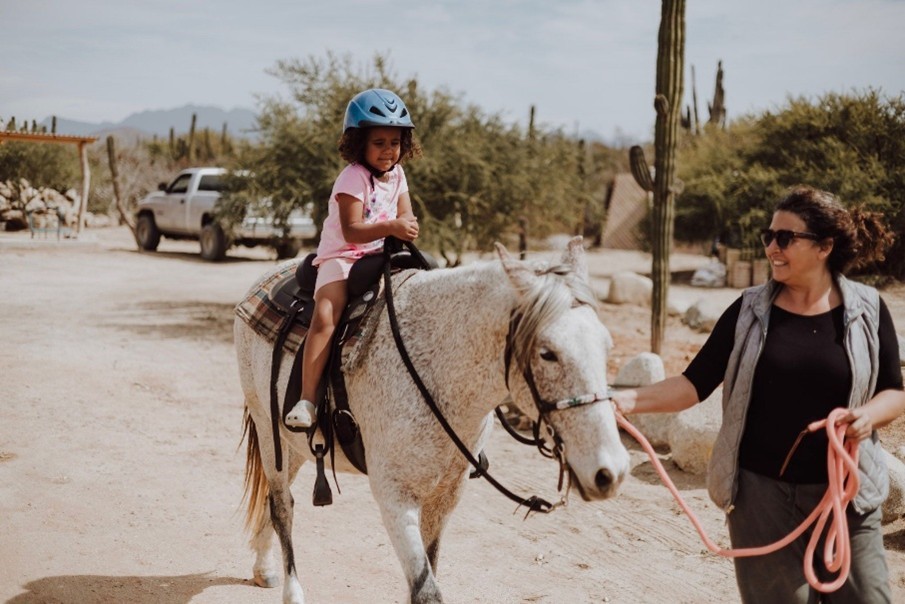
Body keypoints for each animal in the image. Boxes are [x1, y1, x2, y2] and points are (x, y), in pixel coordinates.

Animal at [234, 237, 630, 604]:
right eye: (548, 353)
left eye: (607, 347)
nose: (610, 471)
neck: (436, 370)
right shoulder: (394, 497)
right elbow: (427, 592)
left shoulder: (445, 496)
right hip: (269, 432)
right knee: (282, 506)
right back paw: (292, 590)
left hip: (294, 444)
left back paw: (263, 567)